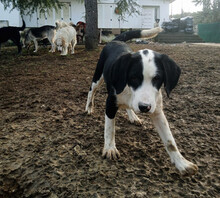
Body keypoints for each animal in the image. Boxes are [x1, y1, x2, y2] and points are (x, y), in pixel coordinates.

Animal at [85, 26, 199, 176]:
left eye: (157, 79)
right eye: (133, 78)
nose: (144, 107)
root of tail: (115, 41)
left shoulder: (157, 111)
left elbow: (170, 141)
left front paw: (181, 163)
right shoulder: (110, 104)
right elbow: (110, 129)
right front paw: (109, 148)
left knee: (127, 106)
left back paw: (133, 116)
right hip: (98, 76)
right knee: (91, 91)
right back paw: (89, 107)